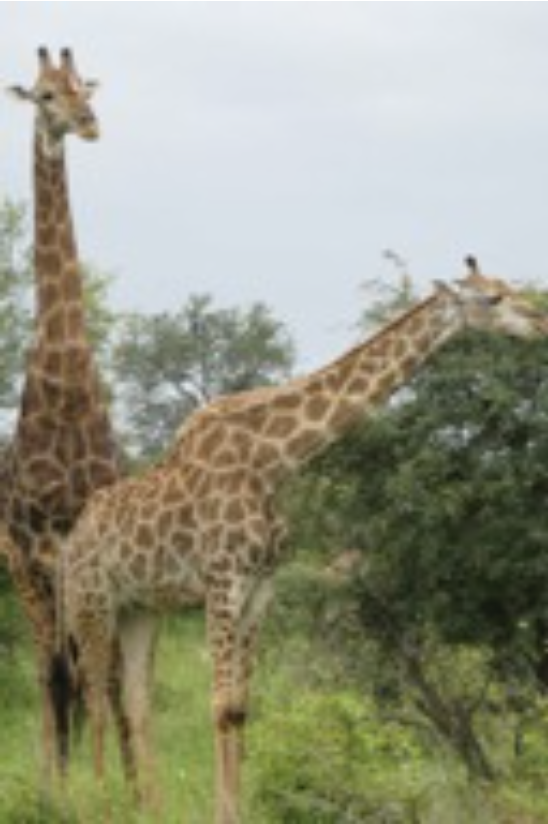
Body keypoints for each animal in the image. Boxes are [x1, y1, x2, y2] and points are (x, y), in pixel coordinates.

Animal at [60, 264, 548, 824]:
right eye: (491, 298)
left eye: (509, 288)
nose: (540, 320)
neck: (274, 463)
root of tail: (67, 546)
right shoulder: (221, 581)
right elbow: (219, 705)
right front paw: (223, 814)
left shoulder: (259, 587)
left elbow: (239, 707)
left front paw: (238, 810)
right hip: (91, 605)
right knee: (95, 697)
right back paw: (96, 803)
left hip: (140, 609)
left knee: (136, 702)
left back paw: (152, 811)